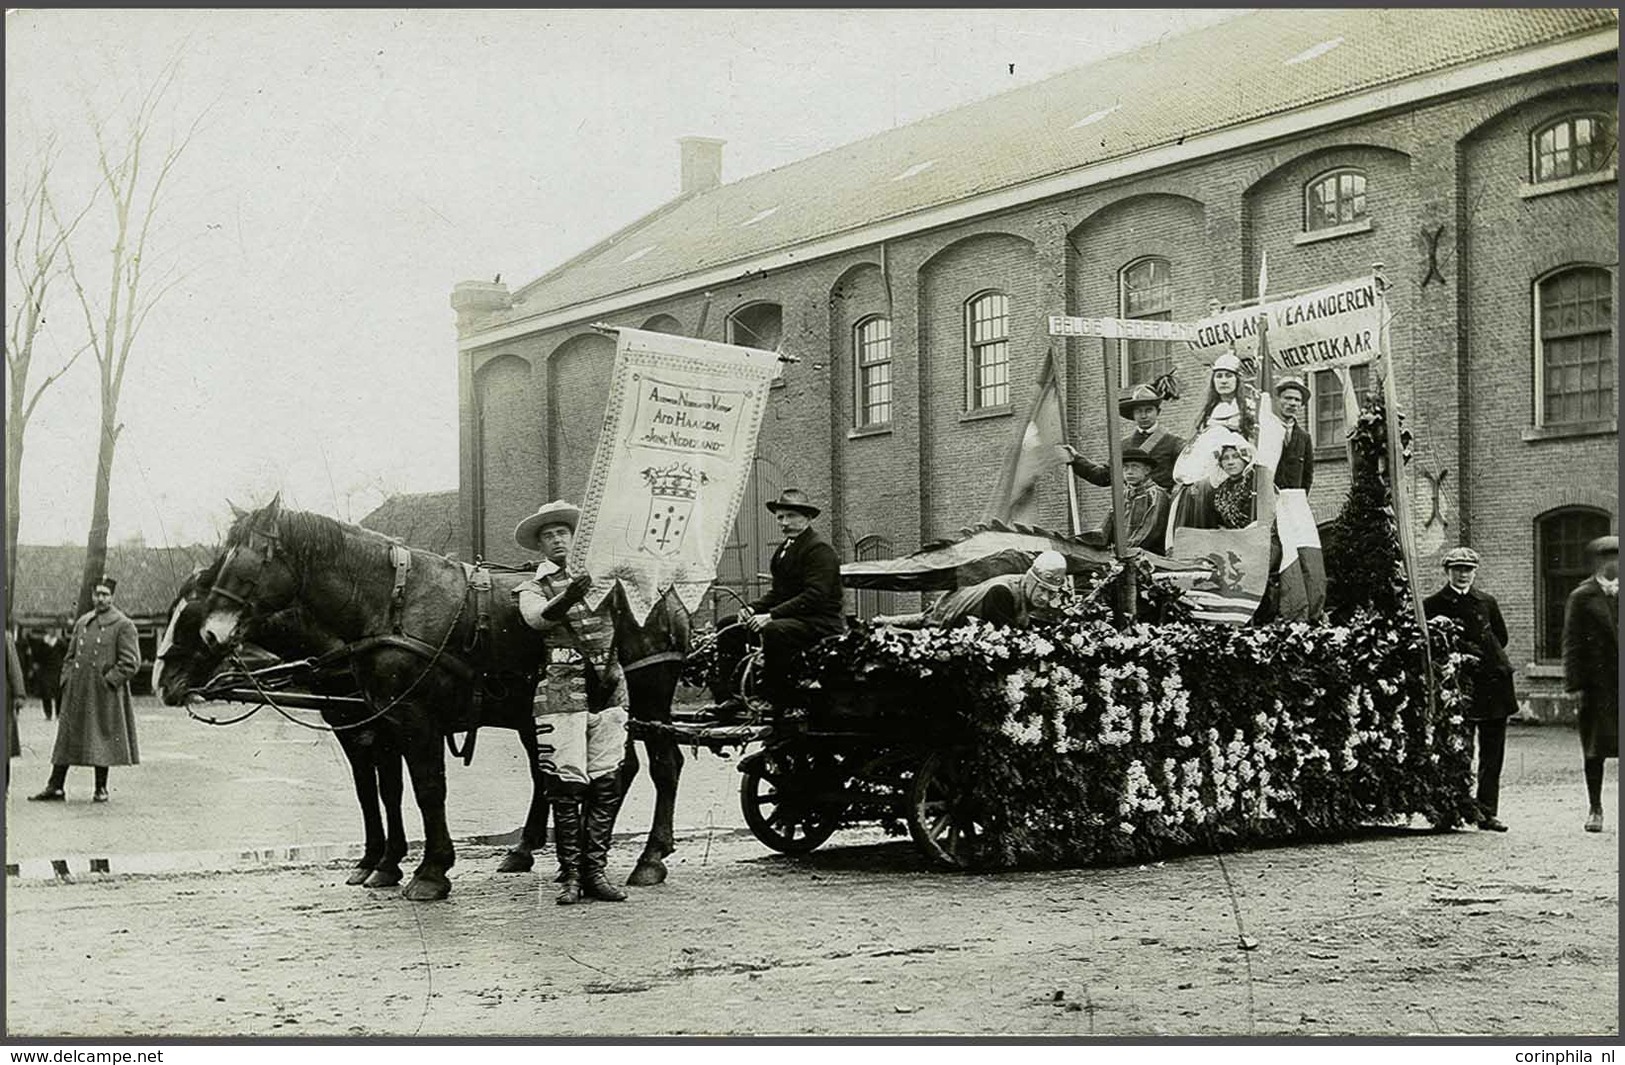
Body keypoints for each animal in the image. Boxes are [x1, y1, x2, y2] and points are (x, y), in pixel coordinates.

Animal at [188, 497, 685, 897]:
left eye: (252, 560)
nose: (212, 634)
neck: (392, 604)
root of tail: (666, 594)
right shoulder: (384, 723)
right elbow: (388, 791)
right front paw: (387, 865)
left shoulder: (413, 718)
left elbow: (427, 789)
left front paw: (430, 872)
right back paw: (569, 858)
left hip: (647, 697)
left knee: (663, 765)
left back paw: (648, 860)